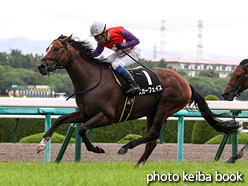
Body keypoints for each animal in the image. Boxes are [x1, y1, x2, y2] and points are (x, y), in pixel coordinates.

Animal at [37, 35, 240, 167]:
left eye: (56, 48)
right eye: (47, 48)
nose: (41, 66)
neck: (92, 79)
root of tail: (185, 82)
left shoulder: (107, 116)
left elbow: (82, 129)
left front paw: (97, 149)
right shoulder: (84, 112)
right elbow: (60, 120)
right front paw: (42, 143)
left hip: (165, 108)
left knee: (153, 134)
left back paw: (126, 147)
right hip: (153, 111)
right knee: (152, 140)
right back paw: (138, 164)